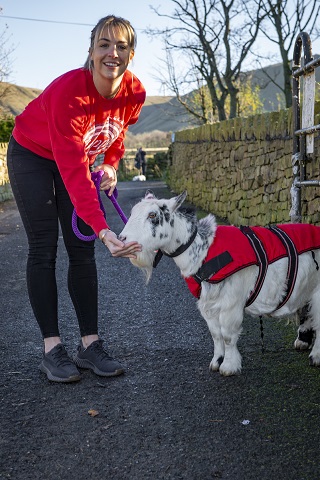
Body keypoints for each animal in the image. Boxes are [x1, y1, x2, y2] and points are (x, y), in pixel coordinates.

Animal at [119, 190, 320, 376]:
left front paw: (229, 367)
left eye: (152, 215)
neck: (204, 250)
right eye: (132, 212)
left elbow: (228, 335)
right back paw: (303, 341)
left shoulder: (231, 301)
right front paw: (216, 361)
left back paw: (315, 356)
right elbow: (216, 334)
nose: (122, 239)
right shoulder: (207, 302)